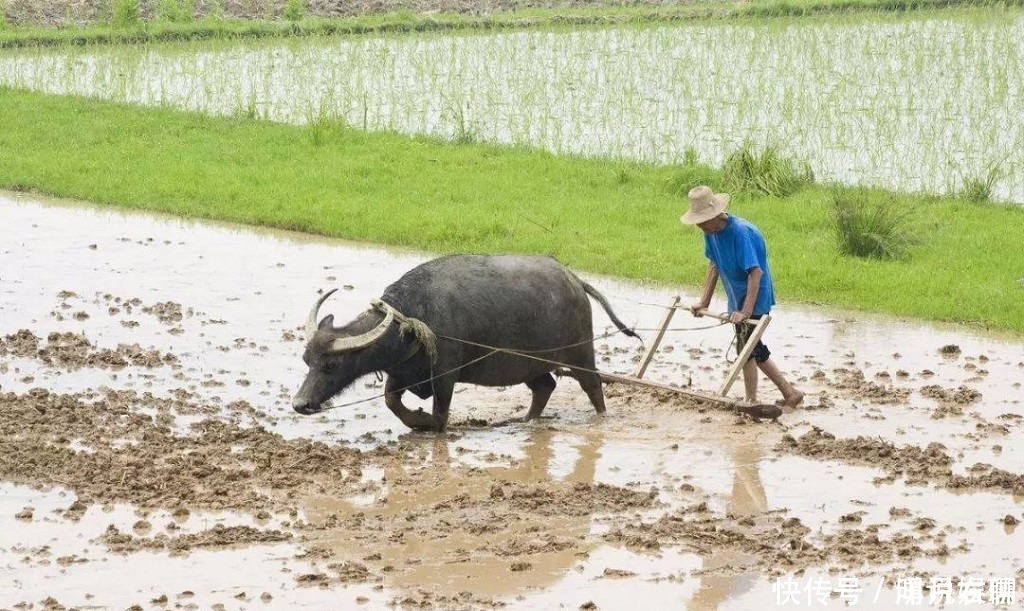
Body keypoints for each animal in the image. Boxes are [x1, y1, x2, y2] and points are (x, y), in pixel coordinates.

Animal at [292, 252, 634, 429]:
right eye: (307, 360)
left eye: (331, 365)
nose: (300, 404)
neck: (414, 317)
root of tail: (575, 280)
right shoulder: (402, 372)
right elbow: (391, 401)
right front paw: (416, 419)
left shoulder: (445, 376)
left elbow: (440, 416)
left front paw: (427, 422)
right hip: (528, 364)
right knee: (544, 387)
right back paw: (525, 420)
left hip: (579, 352)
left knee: (593, 386)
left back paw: (601, 418)